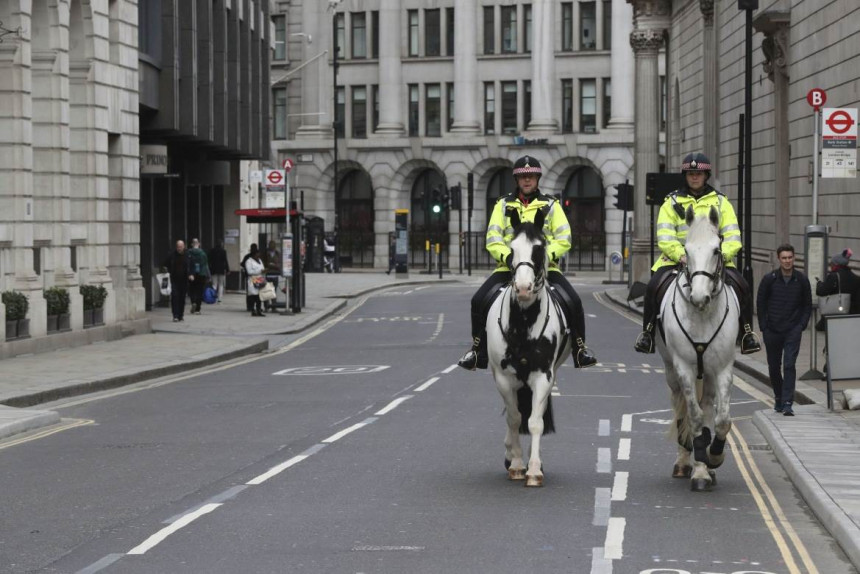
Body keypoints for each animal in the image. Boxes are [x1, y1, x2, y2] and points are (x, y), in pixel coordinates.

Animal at [484, 209, 572, 488]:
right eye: (511, 249)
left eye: (539, 248)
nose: (523, 288)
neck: (523, 322)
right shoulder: (504, 377)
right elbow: (514, 418)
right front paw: (516, 463)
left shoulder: (543, 375)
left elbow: (534, 422)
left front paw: (533, 469)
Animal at [660, 207, 740, 496]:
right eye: (686, 248)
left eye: (717, 249)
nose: (699, 297)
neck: (702, 314)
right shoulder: (683, 367)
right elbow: (692, 417)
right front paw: (701, 467)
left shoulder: (724, 368)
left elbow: (722, 419)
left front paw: (713, 457)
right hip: (671, 370)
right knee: (680, 408)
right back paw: (686, 462)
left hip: (709, 374)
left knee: (707, 405)